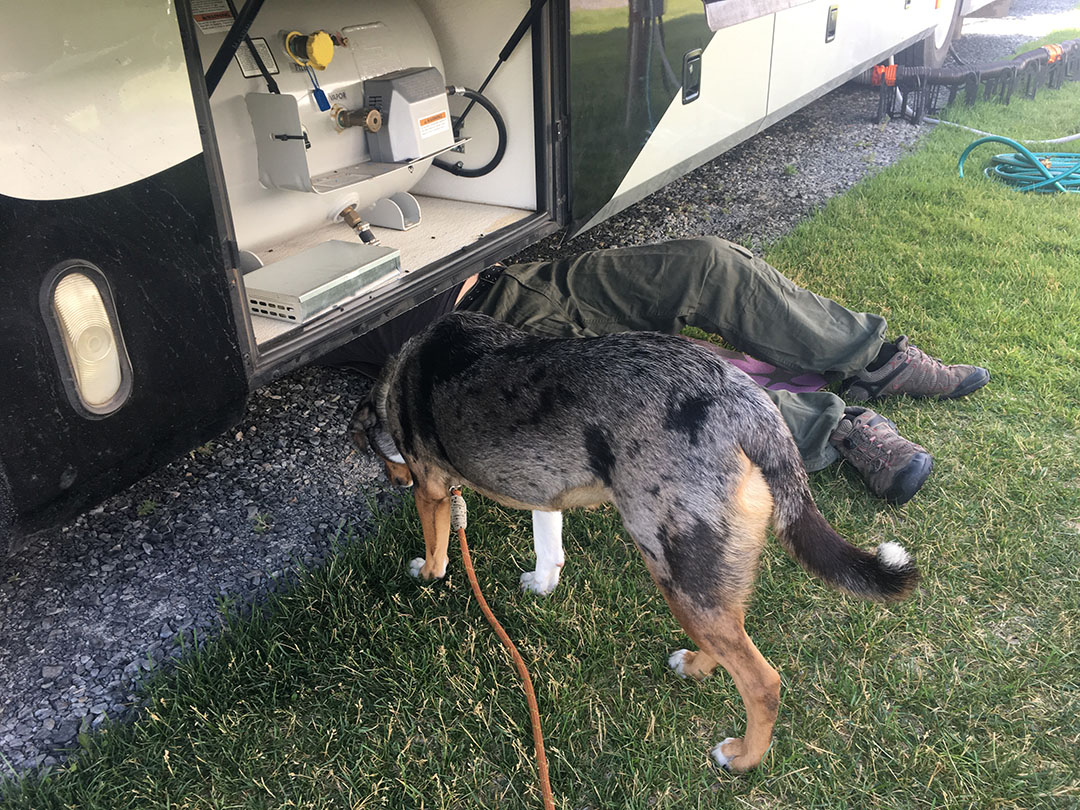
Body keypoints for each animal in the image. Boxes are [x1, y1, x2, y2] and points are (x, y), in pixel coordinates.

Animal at [354, 311, 920, 773]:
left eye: (380, 456)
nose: (393, 479)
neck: (398, 376)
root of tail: (747, 403)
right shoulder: (544, 488)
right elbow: (548, 544)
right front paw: (541, 583)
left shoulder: (430, 489)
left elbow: (436, 545)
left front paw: (427, 572)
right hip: (704, 580)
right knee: (730, 640)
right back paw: (695, 666)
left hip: (678, 571)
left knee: (763, 682)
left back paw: (742, 757)